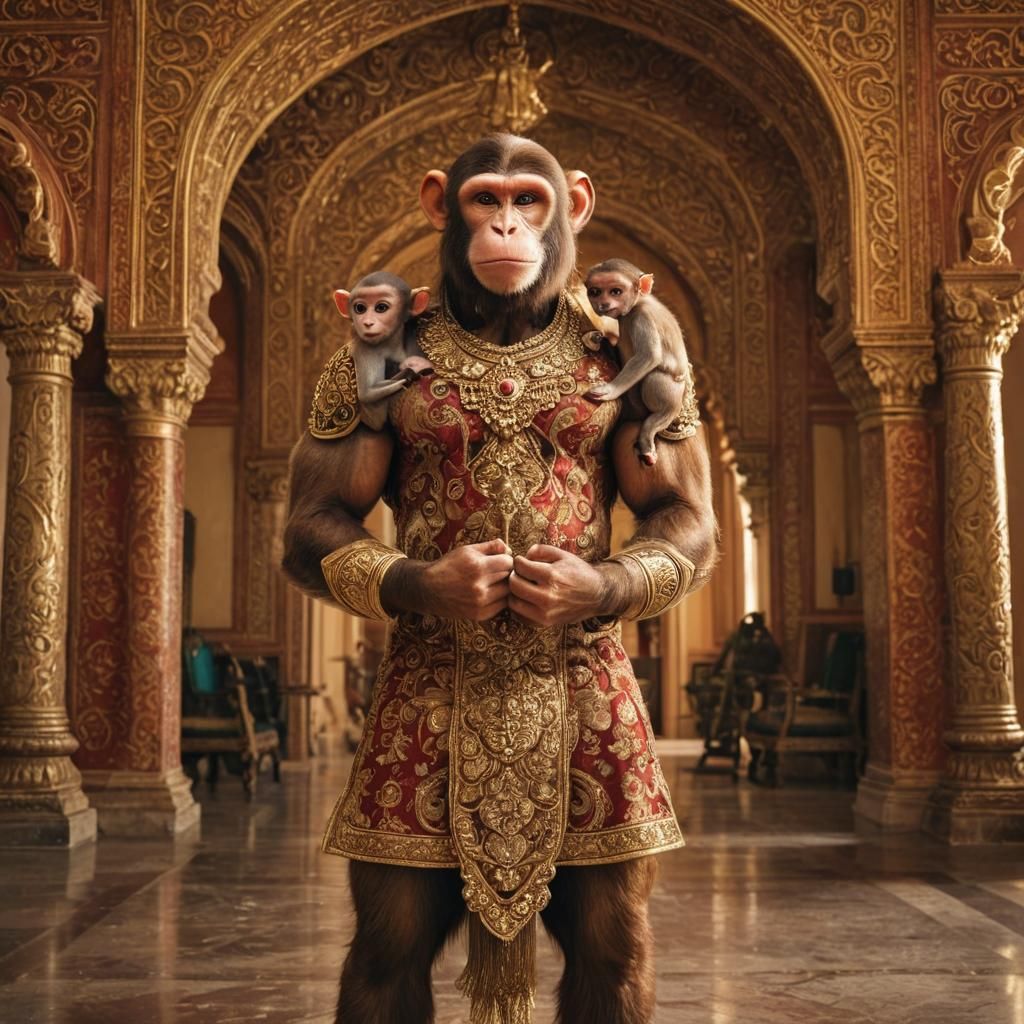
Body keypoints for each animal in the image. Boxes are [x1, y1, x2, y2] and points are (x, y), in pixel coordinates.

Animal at [332, 271, 431, 430]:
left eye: (381, 307)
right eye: (360, 308)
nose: (367, 323)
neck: (390, 344)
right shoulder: (366, 349)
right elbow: (368, 393)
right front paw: (411, 373)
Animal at [585, 257, 692, 466]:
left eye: (615, 291)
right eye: (595, 292)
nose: (603, 303)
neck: (639, 302)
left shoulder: (642, 317)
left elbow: (649, 355)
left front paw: (610, 389)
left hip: (671, 391)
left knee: (654, 380)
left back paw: (648, 434)